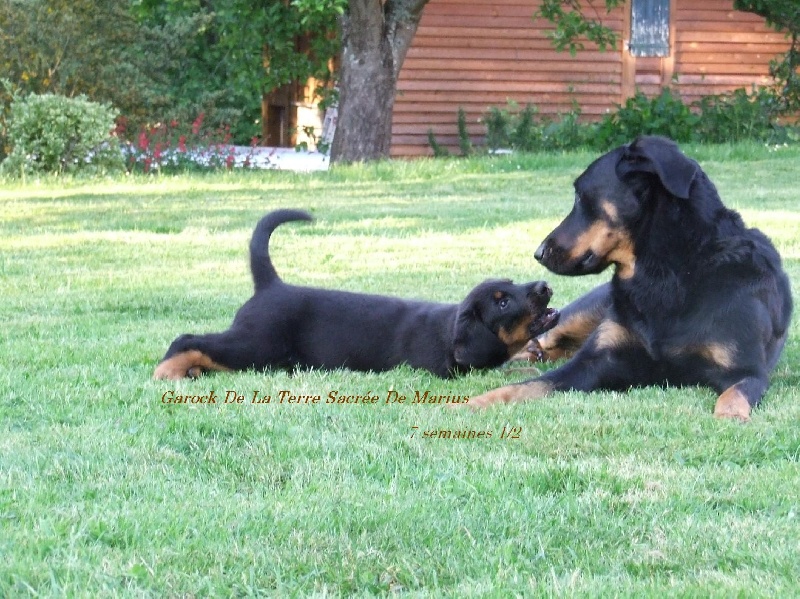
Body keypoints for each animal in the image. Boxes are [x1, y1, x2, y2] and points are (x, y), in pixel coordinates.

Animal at [155, 210, 556, 380]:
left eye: (513, 283)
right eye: (502, 301)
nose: (544, 286)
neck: (447, 331)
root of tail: (271, 285)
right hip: (258, 345)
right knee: (189, 338)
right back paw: (168, 372)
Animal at [468, 137, 792, 422]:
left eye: (579, 196)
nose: (539, 253)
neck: (664, 273)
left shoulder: (746, 371)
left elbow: (732, 396)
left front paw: (731, 417)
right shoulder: (593, 363)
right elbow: (528, 386)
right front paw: (479, 400)